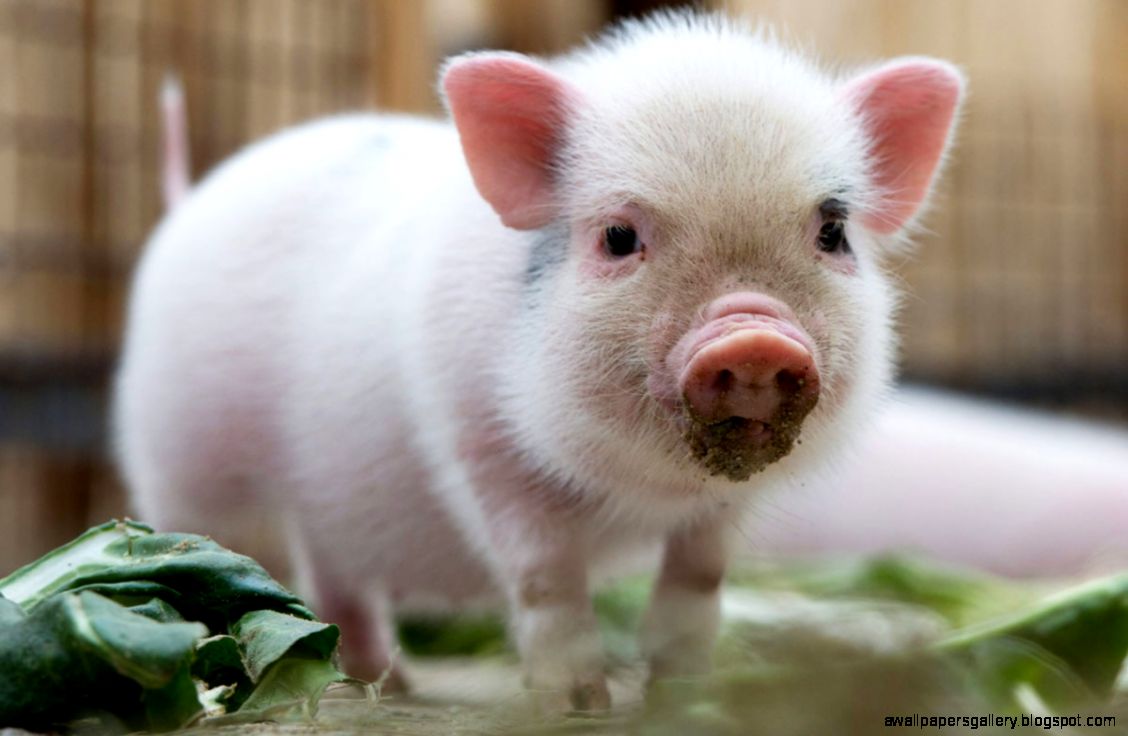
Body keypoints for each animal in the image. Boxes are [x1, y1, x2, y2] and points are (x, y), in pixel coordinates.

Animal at [113, 12, 963, 710]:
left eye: (833, 231)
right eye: (618, 237)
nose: (752, 334)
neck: (641, 486)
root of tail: (189, 201)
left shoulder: (726, 505)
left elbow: (699, 577)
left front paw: (682, 692)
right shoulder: (480, 441)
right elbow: (544, 575)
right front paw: (578, 703)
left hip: (321, 501)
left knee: (334, 576)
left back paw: (387, 681)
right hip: (180, 459)